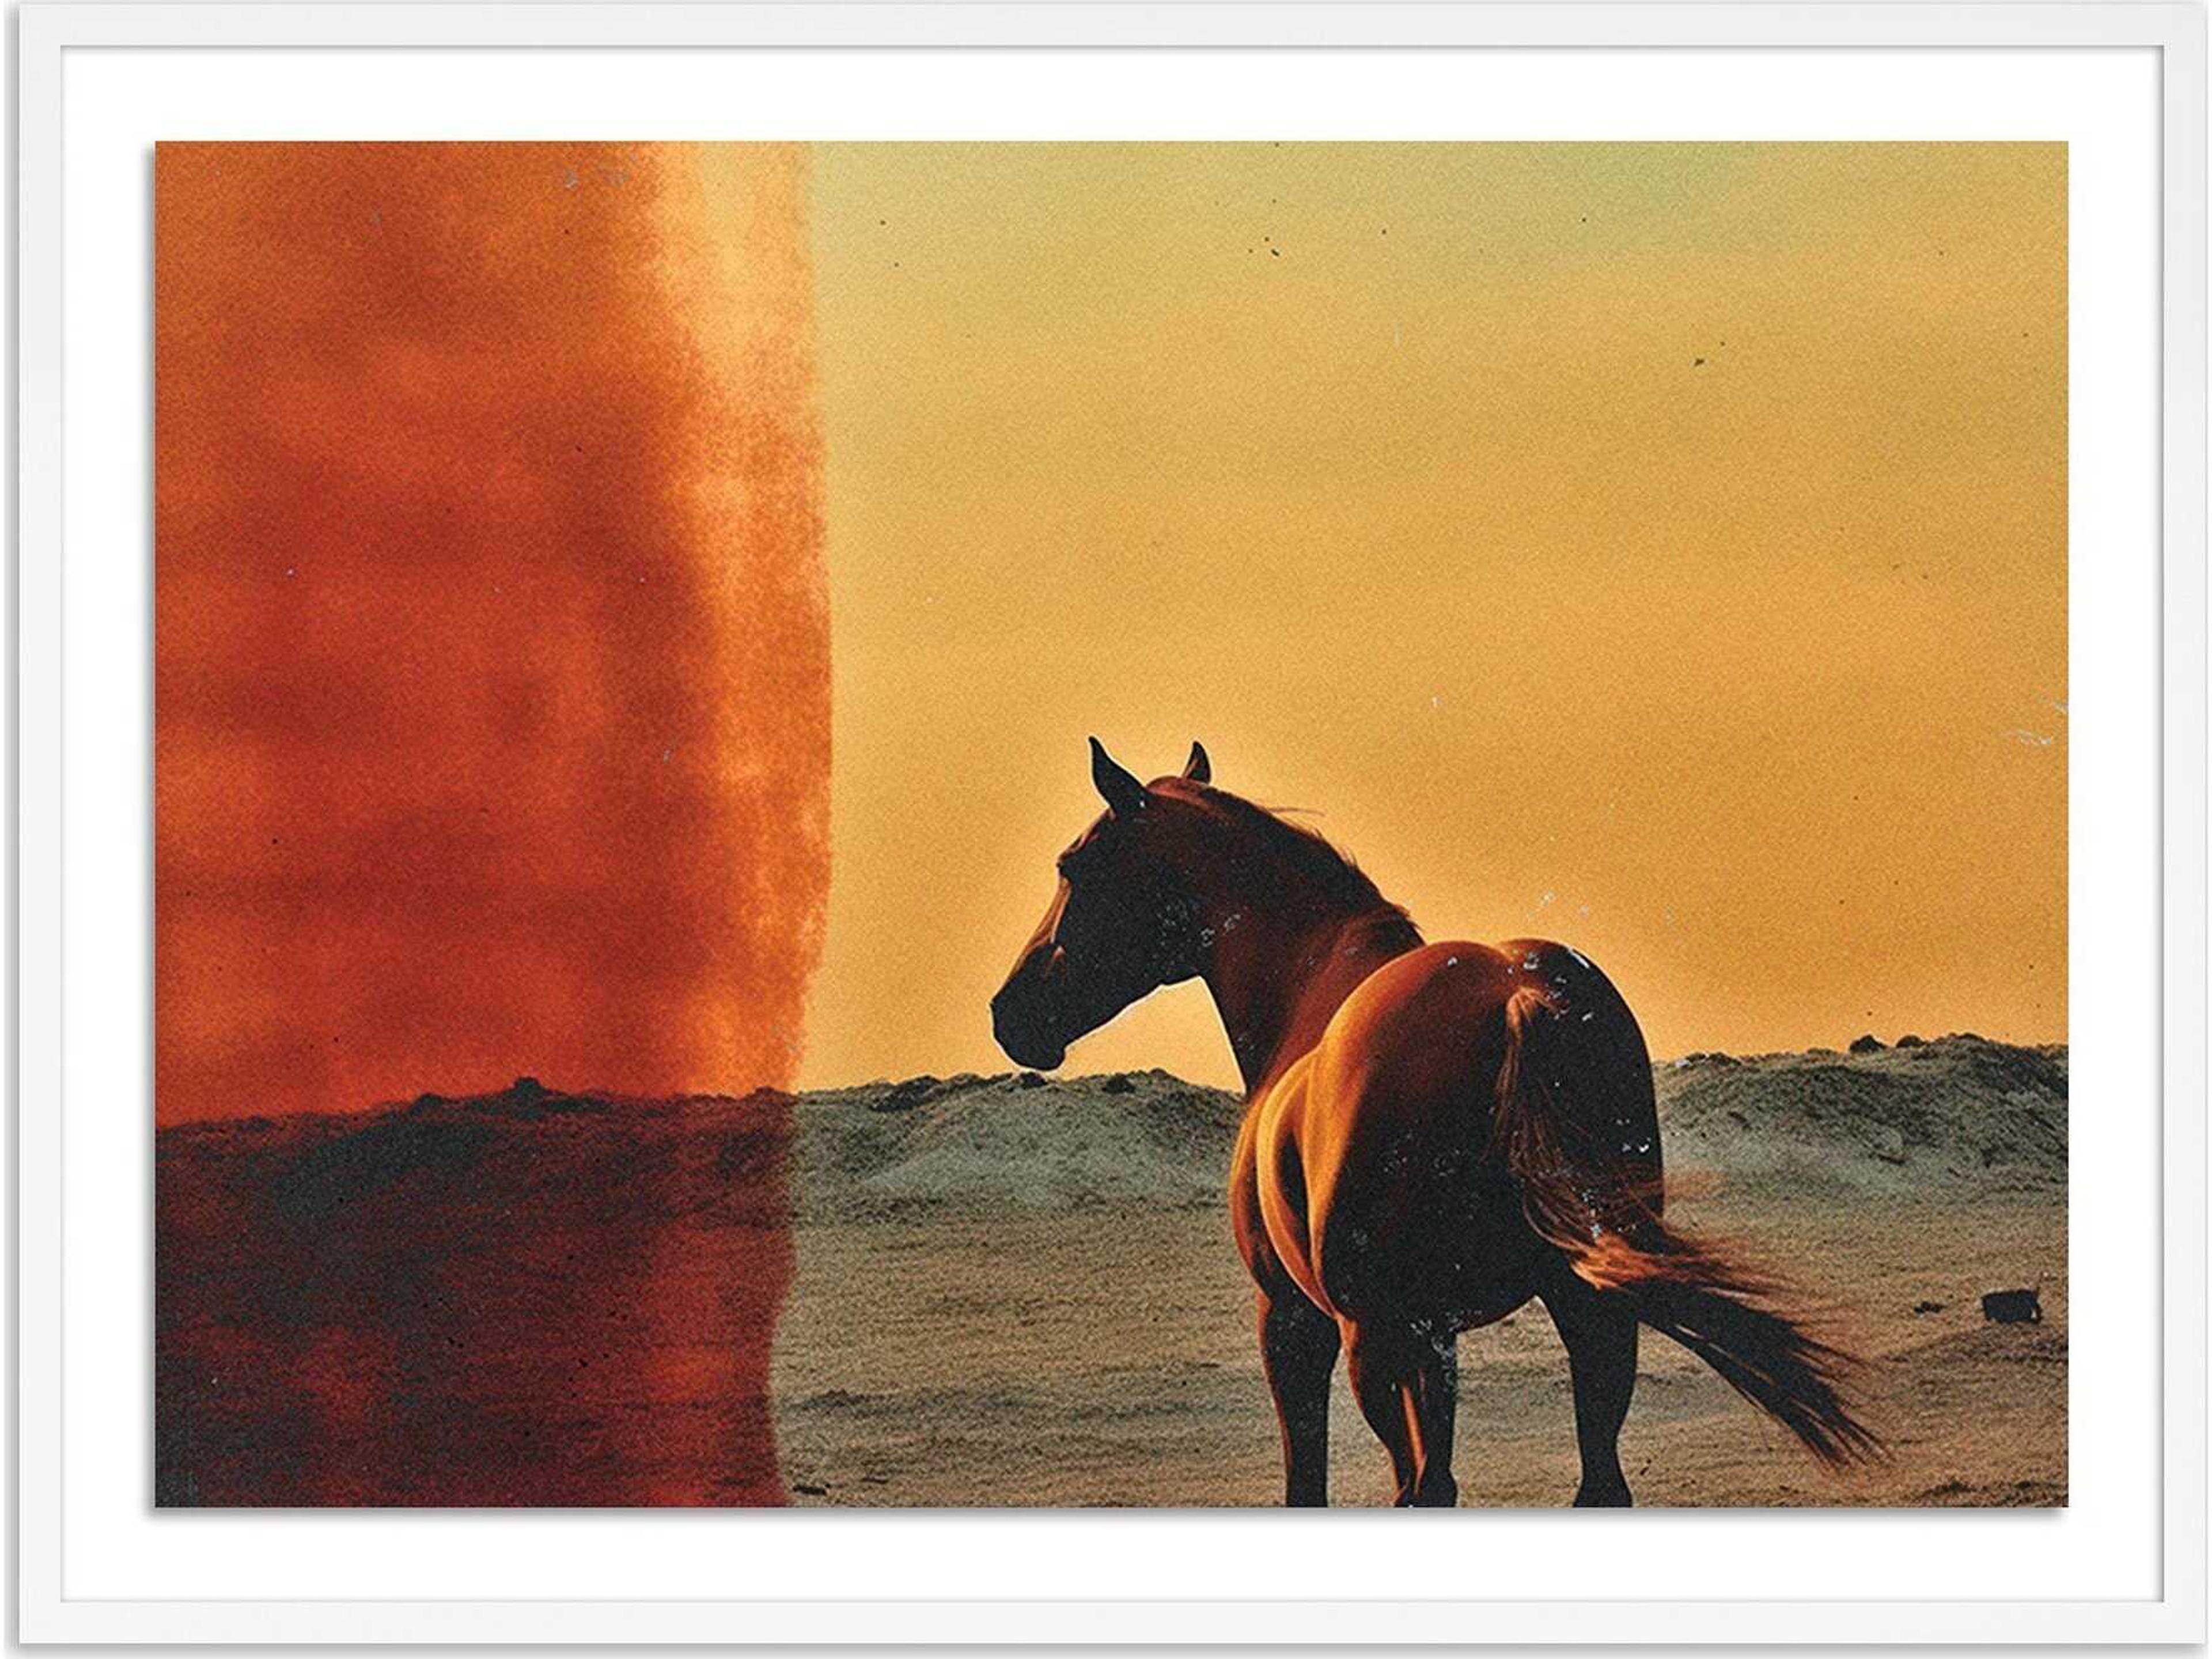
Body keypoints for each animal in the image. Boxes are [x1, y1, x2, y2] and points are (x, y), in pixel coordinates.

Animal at [991, 738, 1877, 1507]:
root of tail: (1520, 997)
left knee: (1426, 1489)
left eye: (1074, 866)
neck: (1310, 988)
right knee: (1595, 1484)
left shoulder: (1298, 1323)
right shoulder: (1438, 1336)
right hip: (1589, 1314)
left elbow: (1313, 1486)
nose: (1011, 1013)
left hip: (1379, 1343)